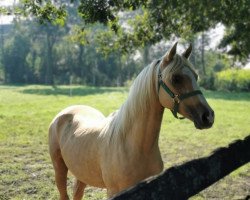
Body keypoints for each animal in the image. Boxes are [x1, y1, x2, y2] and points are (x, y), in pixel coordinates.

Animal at [49, 42, 215, 200]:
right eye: (176, 78)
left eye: (196, 76)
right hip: (59, 169)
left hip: (81, 173)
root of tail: (65, 112)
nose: (208, 116)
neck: (133, 146)